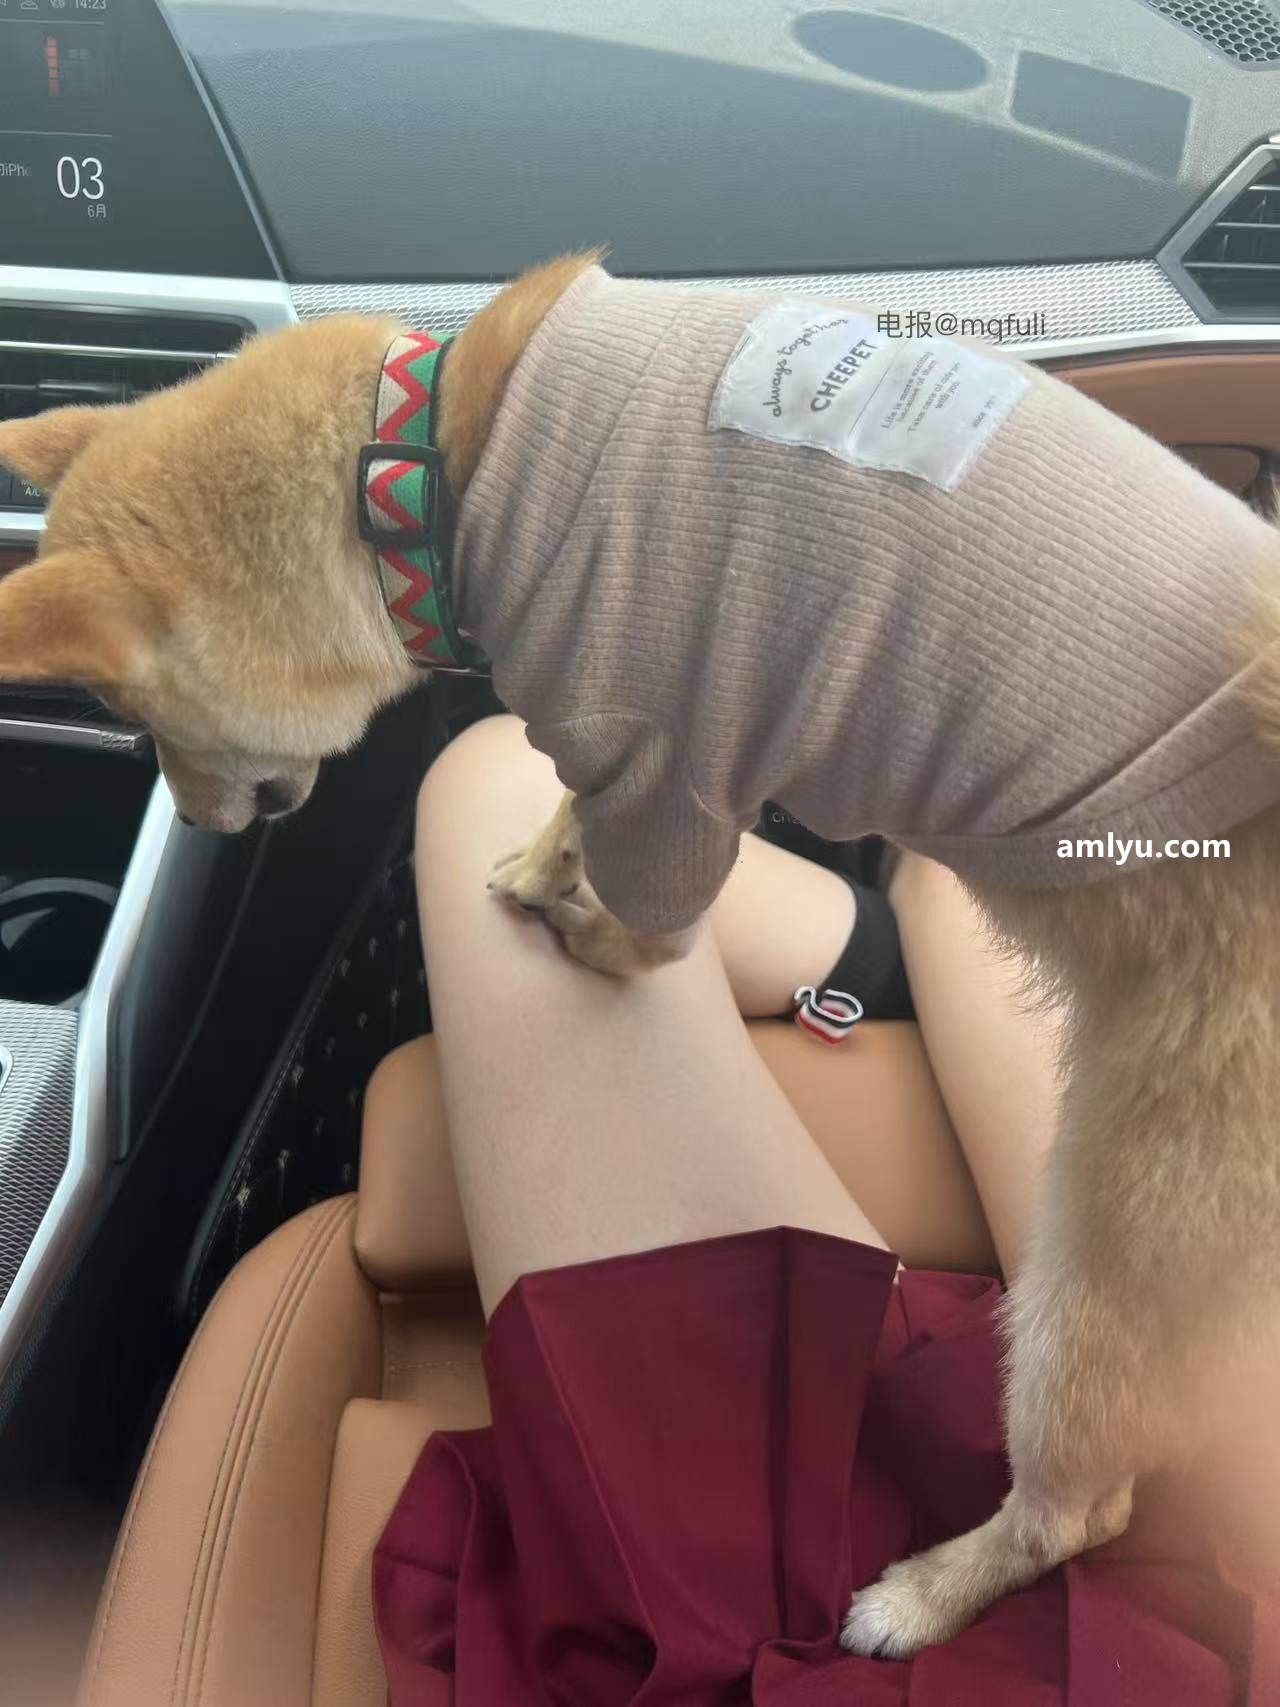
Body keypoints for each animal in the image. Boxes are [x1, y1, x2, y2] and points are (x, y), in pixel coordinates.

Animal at [2, 251, 1280, 1660]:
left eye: (137, 722)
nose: (186, 823)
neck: (426, 458)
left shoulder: (666, 768)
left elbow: (650, 932)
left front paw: (589, 933)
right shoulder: (596, 746)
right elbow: (567, 805)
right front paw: (533, 863)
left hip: (1109, 1265)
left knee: (1079, 1508)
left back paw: (921, 1594)